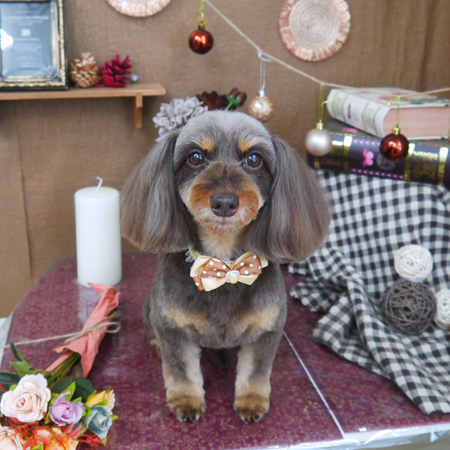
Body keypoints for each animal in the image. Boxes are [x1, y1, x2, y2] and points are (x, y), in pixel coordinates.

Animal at [120, 110, 330, 424]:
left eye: (254, 159)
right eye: (195, 157)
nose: (224, 202)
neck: (225, 263)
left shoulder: (267, 329)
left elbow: (255, 370)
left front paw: (252, 401)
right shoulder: (172, 328)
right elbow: (181, 369)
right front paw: (186, 401)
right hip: (151, 307)